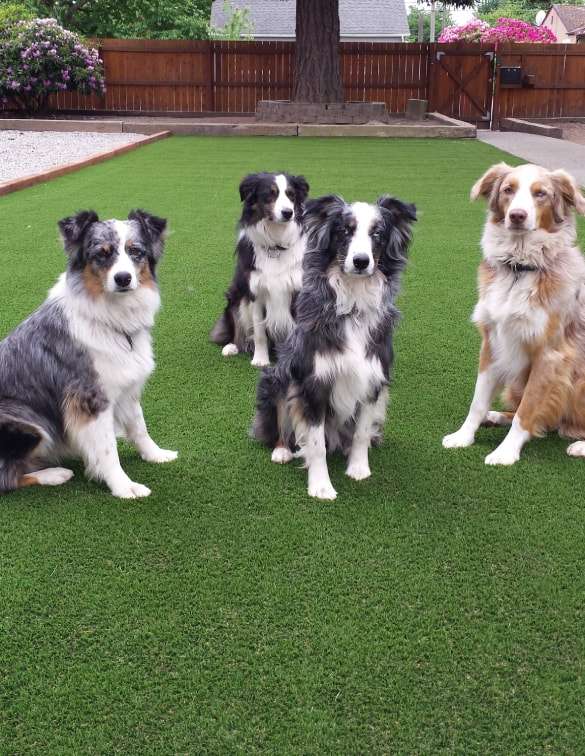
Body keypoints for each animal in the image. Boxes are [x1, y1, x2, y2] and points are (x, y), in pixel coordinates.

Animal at [440, 162, 584, 464]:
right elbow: (478, 401)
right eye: (508, 189)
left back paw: (580, 445)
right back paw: (494, 416)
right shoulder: (493, 340)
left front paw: (506, 452)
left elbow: (527, 411)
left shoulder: (549, 355)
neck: (520, 267)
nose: (517, 215)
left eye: (541, 194)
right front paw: (463, 436)